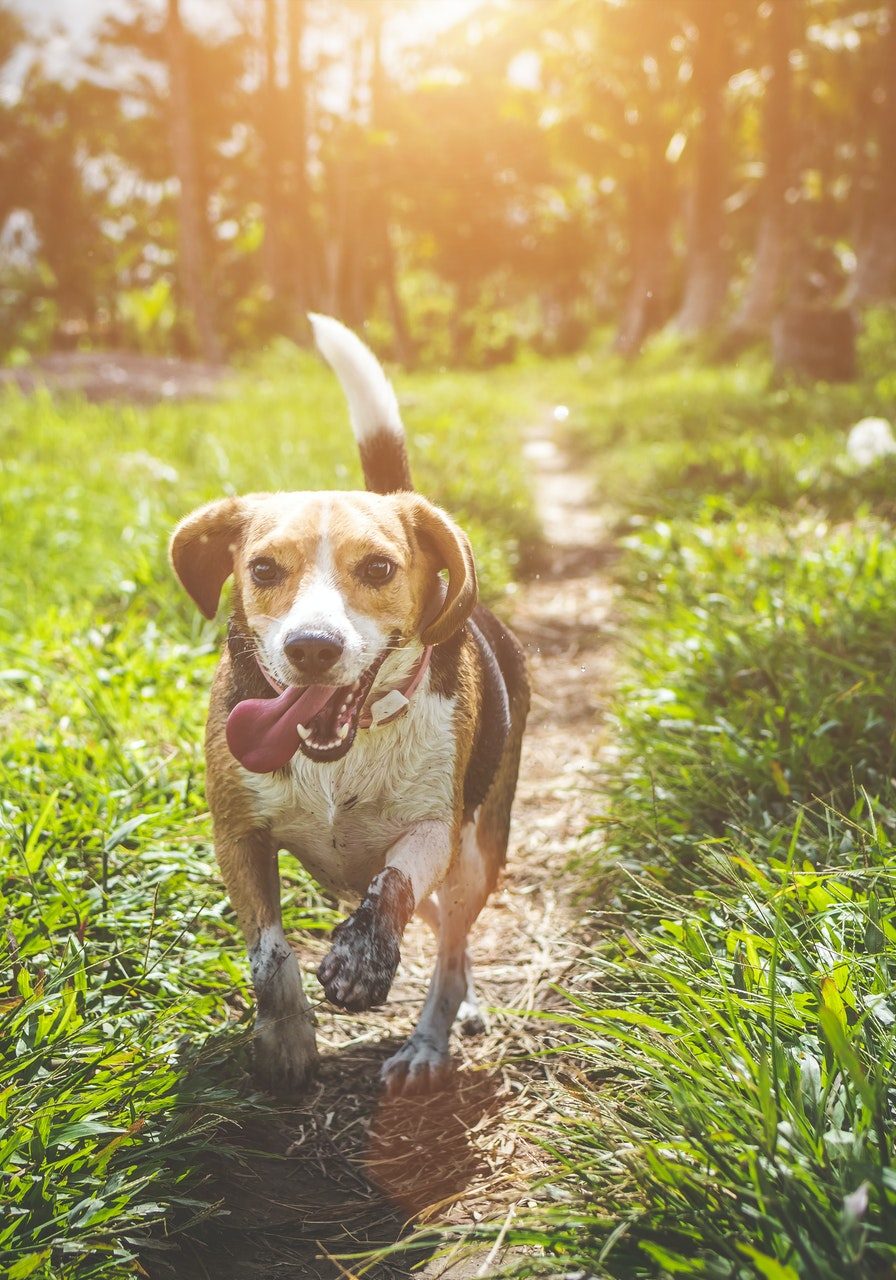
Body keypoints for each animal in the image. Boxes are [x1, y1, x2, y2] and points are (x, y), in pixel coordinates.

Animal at [171, 314, 527, 1095]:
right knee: (446, 938)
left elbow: (393, 883)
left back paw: (429, 1040)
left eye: (380, 567)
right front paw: (286, 1039)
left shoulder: (434, 829)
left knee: (449, 948)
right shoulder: (237, 835)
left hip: (477, 854)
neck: (345, 749)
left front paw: (362, 959)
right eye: (262, 569)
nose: (312, 647)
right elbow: (271, 953)